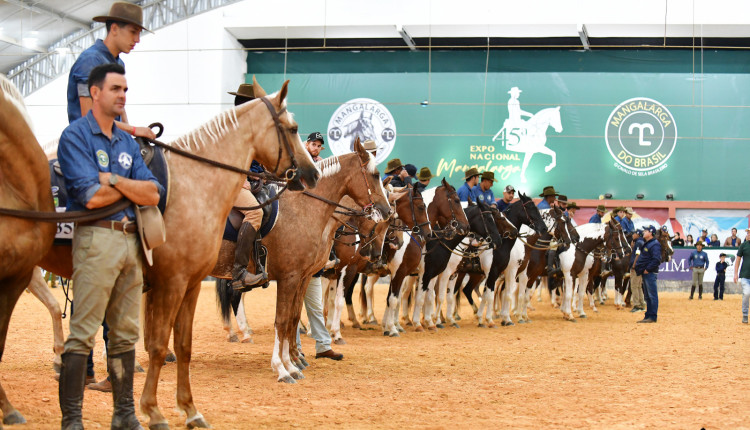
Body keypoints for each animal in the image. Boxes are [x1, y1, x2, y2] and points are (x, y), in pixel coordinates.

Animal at [38, 78, 320, 430]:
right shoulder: (171, 283)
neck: (195, 186)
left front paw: (190, 409)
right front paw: (153, 410)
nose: (312, 174)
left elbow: (183, 345)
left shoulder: (191, 284)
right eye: (293, 128)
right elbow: (158, 344)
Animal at [212, 142, 390, 382]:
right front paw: (282, 368)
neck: (303, 208)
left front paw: (294, 361)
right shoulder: (291, 277)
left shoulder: (303, 277)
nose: (387, 210)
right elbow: (283, 320)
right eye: (375, 174)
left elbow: (294, 318)